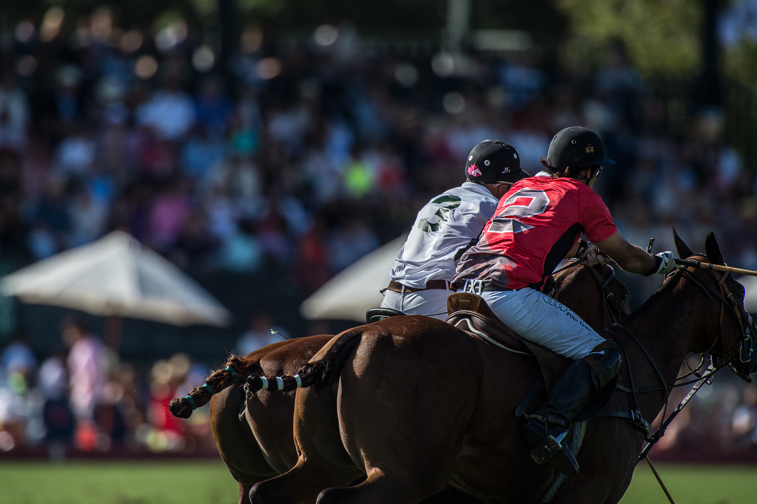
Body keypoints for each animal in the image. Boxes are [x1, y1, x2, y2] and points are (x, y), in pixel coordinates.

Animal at [247, 229, 752, 504]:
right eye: (740, 293)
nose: (751, 353)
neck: (632, 373)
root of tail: (352, 336)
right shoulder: (589, 493)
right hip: (403, 475)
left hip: (323, 460)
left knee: (265, 490)